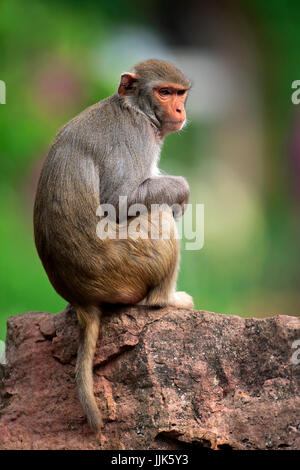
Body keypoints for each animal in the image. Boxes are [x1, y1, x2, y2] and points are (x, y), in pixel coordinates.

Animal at [33, 57, 192, 432]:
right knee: (157, 214)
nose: (179, 108)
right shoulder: (135, 136)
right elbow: (120, 200)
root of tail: (81, 299)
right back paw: (166, 300)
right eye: (164, 93)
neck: (134, 108)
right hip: (125, 265)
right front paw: (181, 190)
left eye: (180, 94)